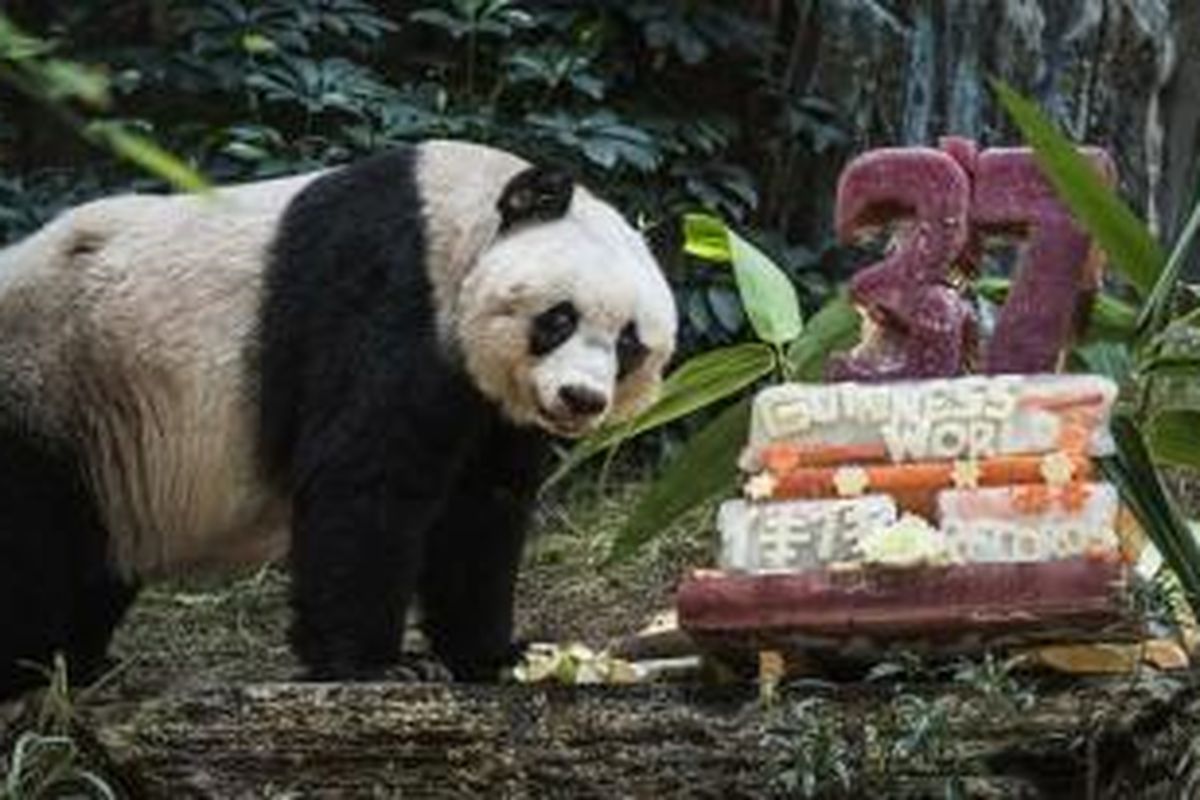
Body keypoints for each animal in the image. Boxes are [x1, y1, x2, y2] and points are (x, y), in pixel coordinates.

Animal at [0, 139, 676, 700]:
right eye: (559, 317)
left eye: (629, 344)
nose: (580, 398)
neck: (457, 228)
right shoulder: (385, 290)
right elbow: (366, 479)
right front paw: (379, 666)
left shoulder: (492, 403)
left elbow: (481, 508)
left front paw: (498, 654)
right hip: (51, 377)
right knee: (33, 543)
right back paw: (31, 670)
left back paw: (82, 665)